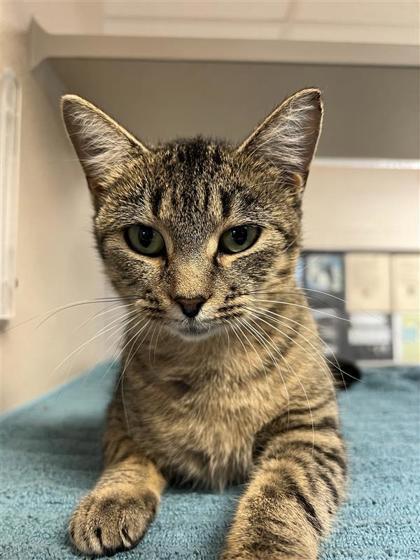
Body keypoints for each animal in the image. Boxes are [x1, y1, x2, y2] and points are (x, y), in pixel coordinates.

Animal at [61, 88, 348, 560]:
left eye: (239, 237)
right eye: (144, 238)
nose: (190, 300)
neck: (210, 367)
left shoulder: (310, 430)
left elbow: (284, 492)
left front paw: (264, 549)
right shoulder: (119, 415)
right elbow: (128, 456)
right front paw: (112, 497)